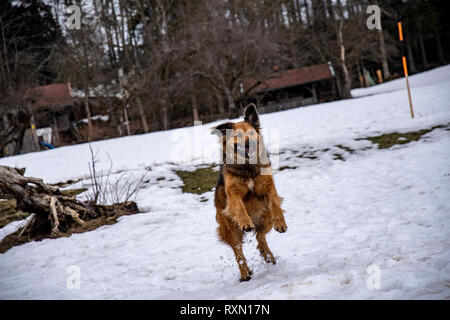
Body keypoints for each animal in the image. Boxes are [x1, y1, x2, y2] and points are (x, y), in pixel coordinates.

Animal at [212, 104, 288, 282]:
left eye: (252, 133)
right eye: (238, 136)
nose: (249, 141)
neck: (247, 167)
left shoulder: (268, 188)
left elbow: (275, 203)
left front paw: (281, 223)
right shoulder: (233, 193)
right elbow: (239, 207)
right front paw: (245, 222)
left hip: (265, 216)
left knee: (260, 236)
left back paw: (268, 255)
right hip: (230, 229)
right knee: (238, 251)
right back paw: (245, 273)